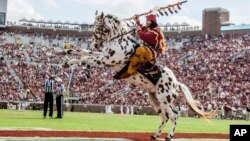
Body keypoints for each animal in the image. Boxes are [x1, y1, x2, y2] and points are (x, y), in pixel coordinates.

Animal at [62, 12, 213, 141]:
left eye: (98, 26)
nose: (94, 44)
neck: (119, 41)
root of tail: (176, 83)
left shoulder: (105, 60)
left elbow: (85, 58)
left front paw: (69, 62)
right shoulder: (102, 56)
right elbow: (83, 52)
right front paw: (66, 53)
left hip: (165, 100)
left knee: (174, 115)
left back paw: (169, 136)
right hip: (154, 100)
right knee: (164, 117)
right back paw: (155, 135)